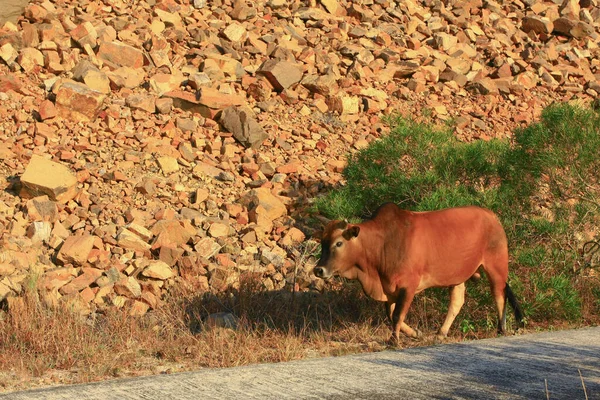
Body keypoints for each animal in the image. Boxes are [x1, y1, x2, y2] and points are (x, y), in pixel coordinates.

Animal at [312, 203, 524, 344]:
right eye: (322, 242)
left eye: (339, 243)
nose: (318, 270)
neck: (381, 245)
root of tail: (492, 216)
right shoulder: (389, 289)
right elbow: (391, 314)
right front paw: (415, 334)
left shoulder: (408, 286)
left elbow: (397, 315)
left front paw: (394, 341)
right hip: (457, 276)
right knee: (457, 301)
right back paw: (441, 333)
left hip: (496, 266)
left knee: (499, 294)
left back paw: (501, 329)